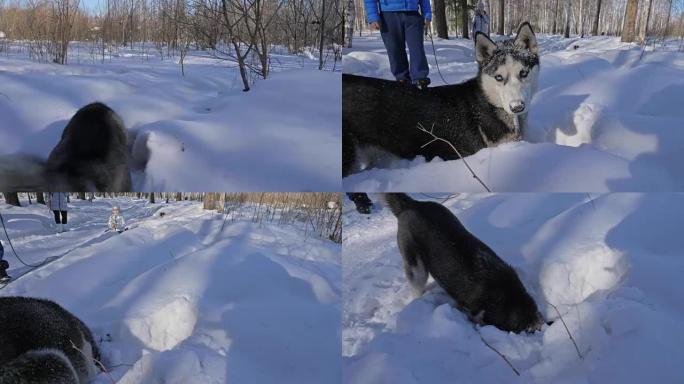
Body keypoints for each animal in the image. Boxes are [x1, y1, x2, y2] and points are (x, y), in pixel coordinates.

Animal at [382, 195, 544, 332]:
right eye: (530, 330)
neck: (506, 296)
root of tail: (412, 204)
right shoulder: (472, 311)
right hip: (417, 268)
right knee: (416, 287)